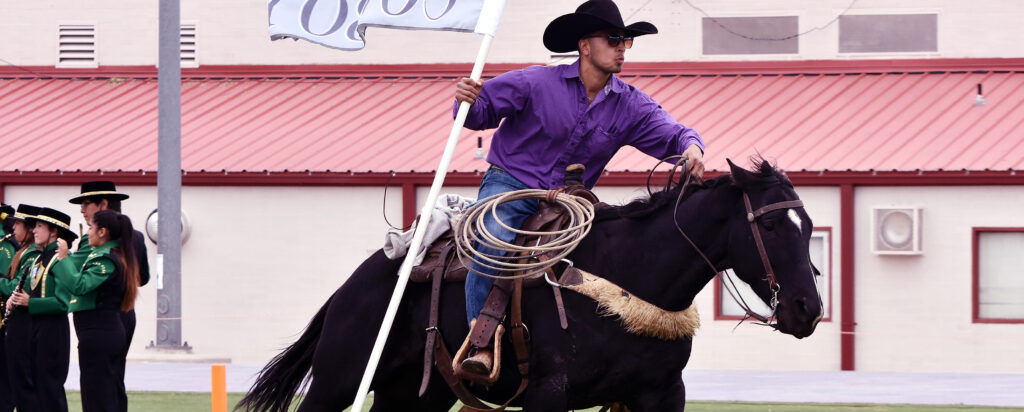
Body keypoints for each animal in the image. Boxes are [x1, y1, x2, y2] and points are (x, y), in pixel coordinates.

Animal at [239, 159, 823, 412]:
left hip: (416, 395)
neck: (630, 278)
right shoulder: (549, 395)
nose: (807, 308)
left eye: (810, 226)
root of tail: (351, 286)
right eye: (773, 225)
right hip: (338, 383)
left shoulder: (660, 396)